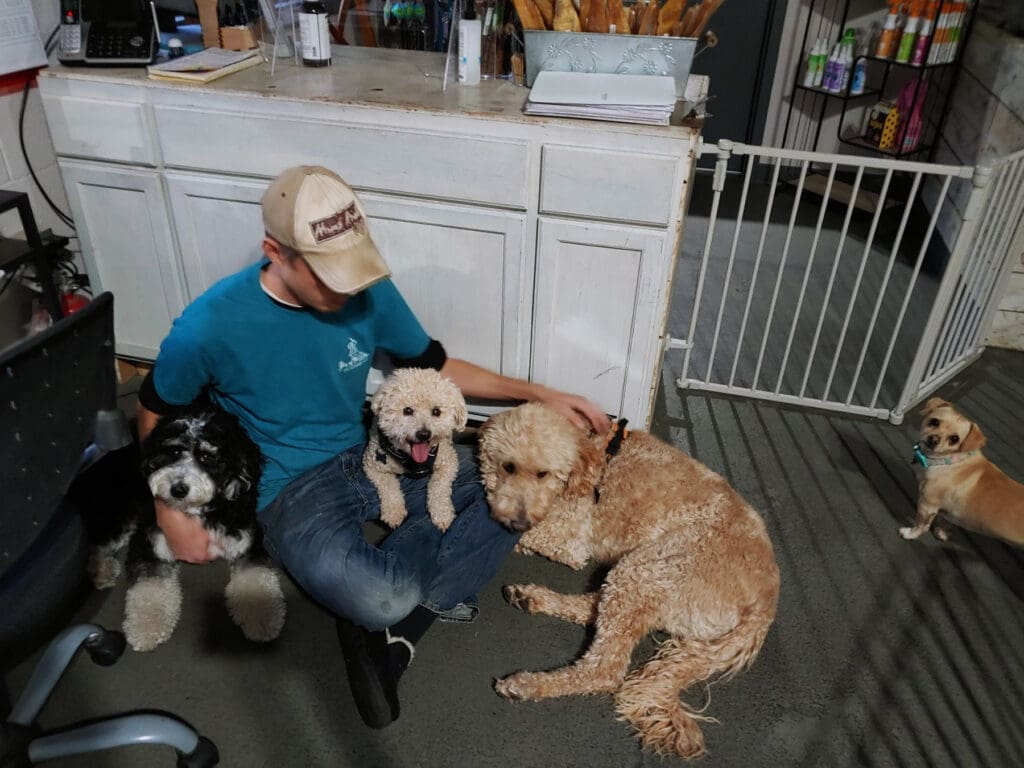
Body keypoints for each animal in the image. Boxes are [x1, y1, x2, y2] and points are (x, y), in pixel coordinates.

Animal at [75, 399, 286, 651]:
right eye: (174, 451)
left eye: (206, 456)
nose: (178, 489)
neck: (198, 510)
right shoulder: (151, 541)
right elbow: (150, 587)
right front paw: (146, 629)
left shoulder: (246, 540)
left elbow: (255, 579)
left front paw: (263, 619)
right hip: (120, 511)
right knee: (99, 541)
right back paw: (102, 571)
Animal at [364, 370, 468, 532]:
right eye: (407, 410)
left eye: (436, 411)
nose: (424, 434)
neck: (410, 459)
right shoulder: (372, 465)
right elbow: (389, 486)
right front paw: (394, 512)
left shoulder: (449, 461)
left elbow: (439, 486)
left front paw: (442, 513)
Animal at [475, 403, 778, 757]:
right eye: (508, 466)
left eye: (544, 473)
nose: (517, 521)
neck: (587, 452)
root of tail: (764, 607)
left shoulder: (569, 539)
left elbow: (532, 533)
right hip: (636, 576)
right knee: (594, 609)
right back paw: (532, 598)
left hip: (651, 569)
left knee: (604, 668)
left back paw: (528, 684)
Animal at [901, 397, 1019, 548]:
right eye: (934, 421)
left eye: (954, 439)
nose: (933, 440)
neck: (949, 461)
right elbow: (944, 518)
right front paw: (943, 532)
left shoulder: (926, 506)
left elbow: (921, 525)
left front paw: (910, 534)